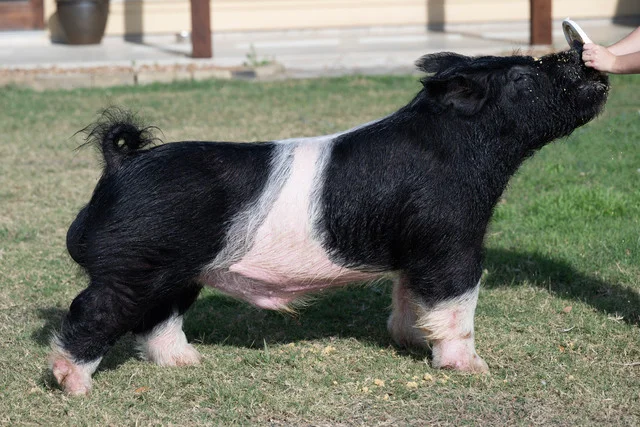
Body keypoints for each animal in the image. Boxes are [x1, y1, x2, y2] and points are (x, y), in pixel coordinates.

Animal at [50, 47, 608, 395]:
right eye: (524, 78)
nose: (592, 68)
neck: (462, 152)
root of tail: (121, 164)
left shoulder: (414, 251)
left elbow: (410, 296)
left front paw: (408, 342)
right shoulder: (452, 240)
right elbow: (456, 304)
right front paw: (474, 369)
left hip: (175, 271)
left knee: (158, 319)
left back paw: (190, 362)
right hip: (133, 267)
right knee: (93, 312)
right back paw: (72, 385)